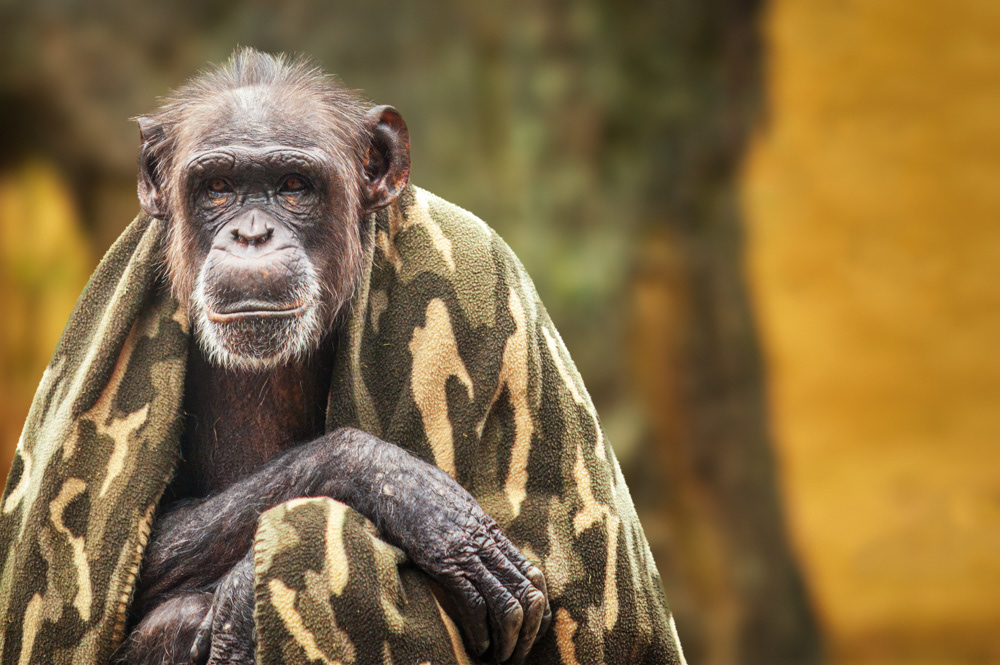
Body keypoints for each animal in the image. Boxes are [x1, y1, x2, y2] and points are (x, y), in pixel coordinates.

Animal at [115, 49, 550, 665]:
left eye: (293, 185)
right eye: (218, 187)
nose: (252, 234)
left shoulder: (476, 264)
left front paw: (243, 597)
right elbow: (140, 547)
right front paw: (399, 486)